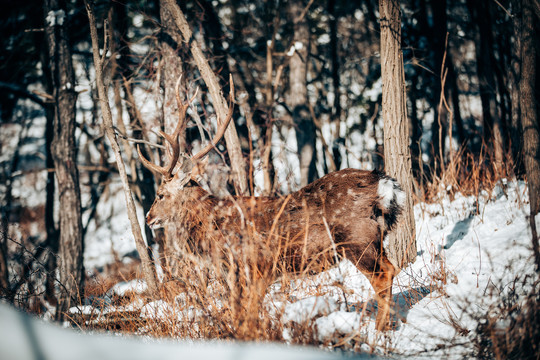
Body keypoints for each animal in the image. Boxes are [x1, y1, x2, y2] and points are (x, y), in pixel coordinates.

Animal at [139, 76, 404, 332]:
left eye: (160, 194)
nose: (148, 218)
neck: (211, 228)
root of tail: (384, 183)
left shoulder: (255, 268)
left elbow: (246, 315)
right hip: (373, 238)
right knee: (390, 268)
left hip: (356, 238)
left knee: (383, 274)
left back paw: (380, 330)